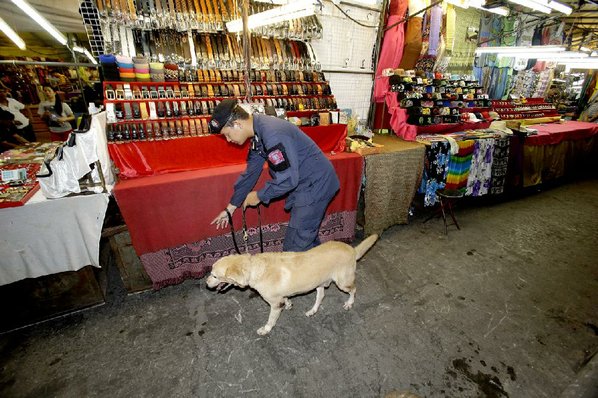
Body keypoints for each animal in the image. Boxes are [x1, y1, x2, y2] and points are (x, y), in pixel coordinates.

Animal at [204, 235, 378, 334]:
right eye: (211, 272)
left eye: (214, 275)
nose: (206, 283)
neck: (254, 268)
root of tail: (352, 250)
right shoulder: (280, 298)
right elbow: (286, 299)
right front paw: (288, 304)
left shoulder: (274, 305)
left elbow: (271, 320)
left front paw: (266, 329)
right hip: (319, 282)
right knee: (321, 295)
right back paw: (312, 311)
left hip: (343, 282)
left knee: (354, 289)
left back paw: (349, 303)